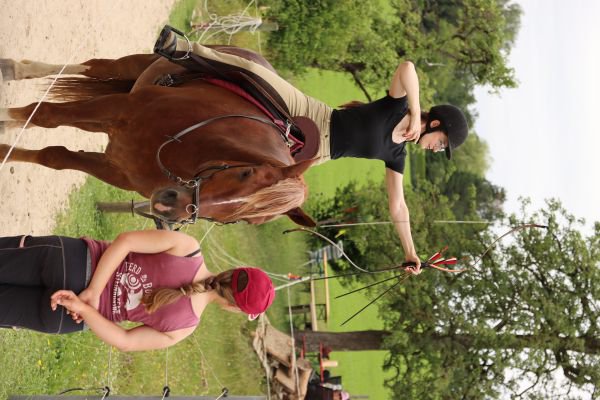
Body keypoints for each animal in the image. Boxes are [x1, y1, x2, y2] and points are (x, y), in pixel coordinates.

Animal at [0, 49, 316, 225]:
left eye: (246, 221)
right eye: (246, 173)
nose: (171, 207)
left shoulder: (117, 168)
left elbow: (53, 156)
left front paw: (4, 149)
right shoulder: (119, 107)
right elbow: (45, 115)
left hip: (103, 125)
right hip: (126, 70)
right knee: (92, 66)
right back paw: (14, 69)